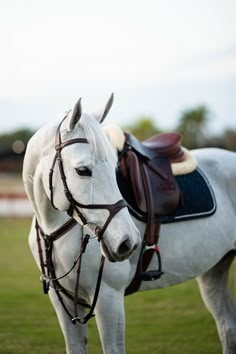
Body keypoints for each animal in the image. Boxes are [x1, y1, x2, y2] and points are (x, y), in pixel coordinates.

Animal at [23, 95, 236, 352]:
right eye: (82, 170)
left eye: (114, 165)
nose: (128, 242)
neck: (56, 231)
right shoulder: (62, 301)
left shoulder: (109, 297)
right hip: (214, 272)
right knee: (228, 328)